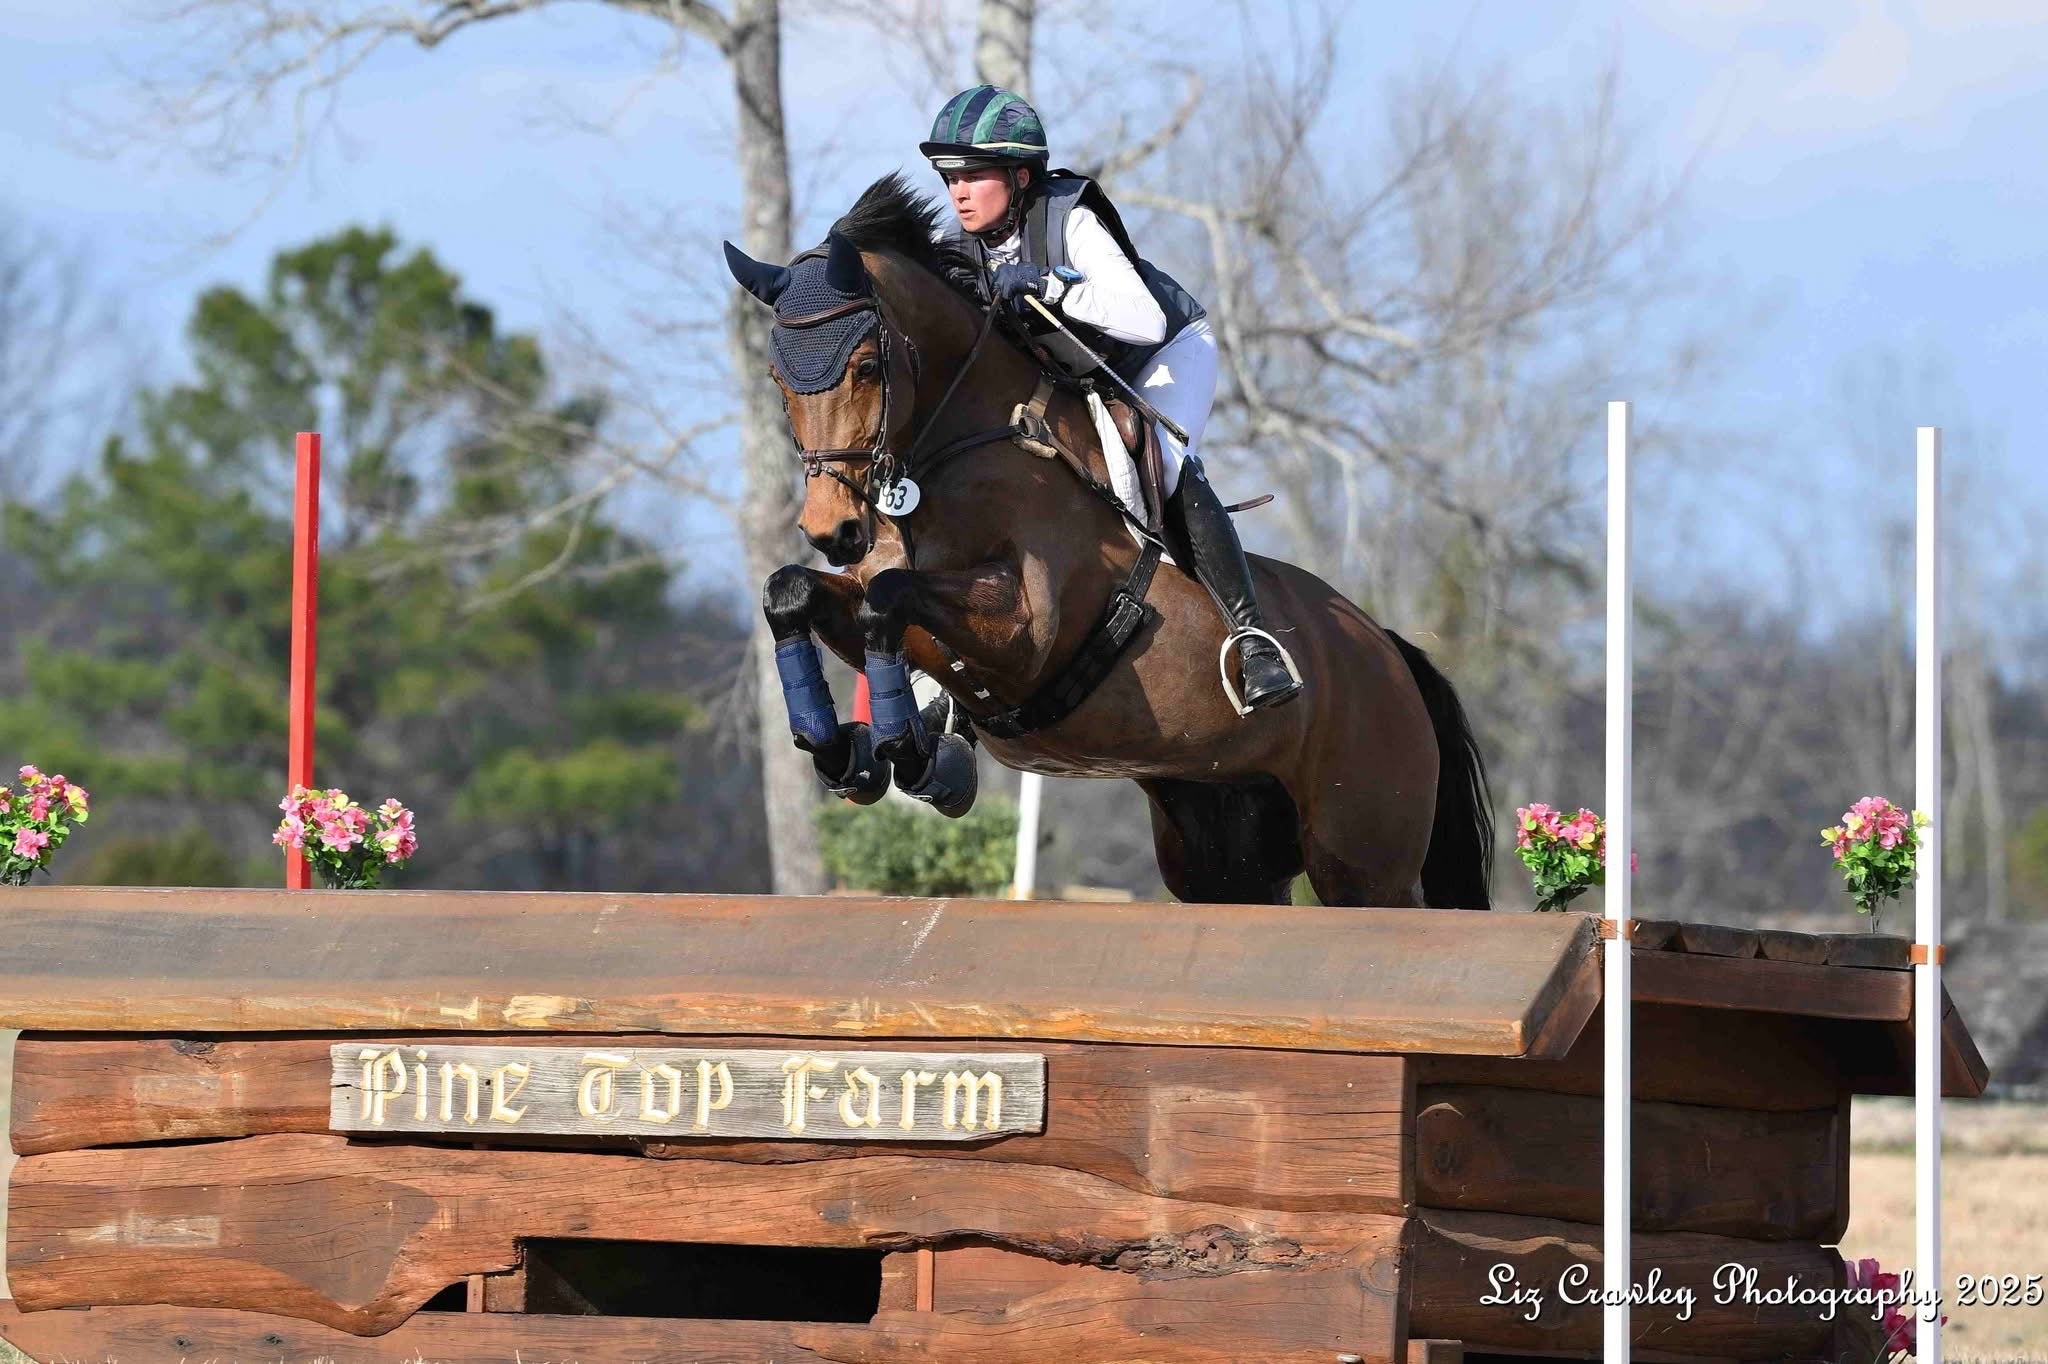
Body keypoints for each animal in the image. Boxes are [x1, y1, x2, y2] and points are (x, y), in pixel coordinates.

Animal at [725, 174, 1493, 909]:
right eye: (776, 378)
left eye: (865, 368)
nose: (834, 529)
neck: (969, 440)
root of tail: (1388, 650)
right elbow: (797, 592)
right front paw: (846, 751)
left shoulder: (1029, 633)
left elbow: (888, 598)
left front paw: (902, 751)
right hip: (1222, 848)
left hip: (1364, 861)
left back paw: (1264, 667)